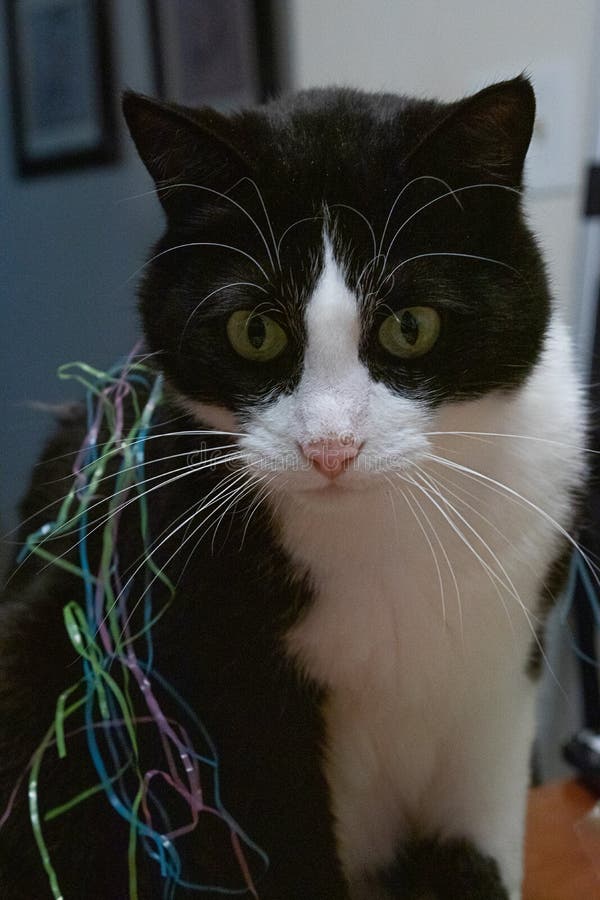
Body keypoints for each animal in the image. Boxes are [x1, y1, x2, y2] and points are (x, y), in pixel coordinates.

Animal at [0, 77, 584, 900]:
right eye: (255, 331)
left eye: (410, 326)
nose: (330, 447)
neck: (381, 542)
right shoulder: (227, 703)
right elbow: (284, 851)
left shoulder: (499, 682)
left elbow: (480, 845)